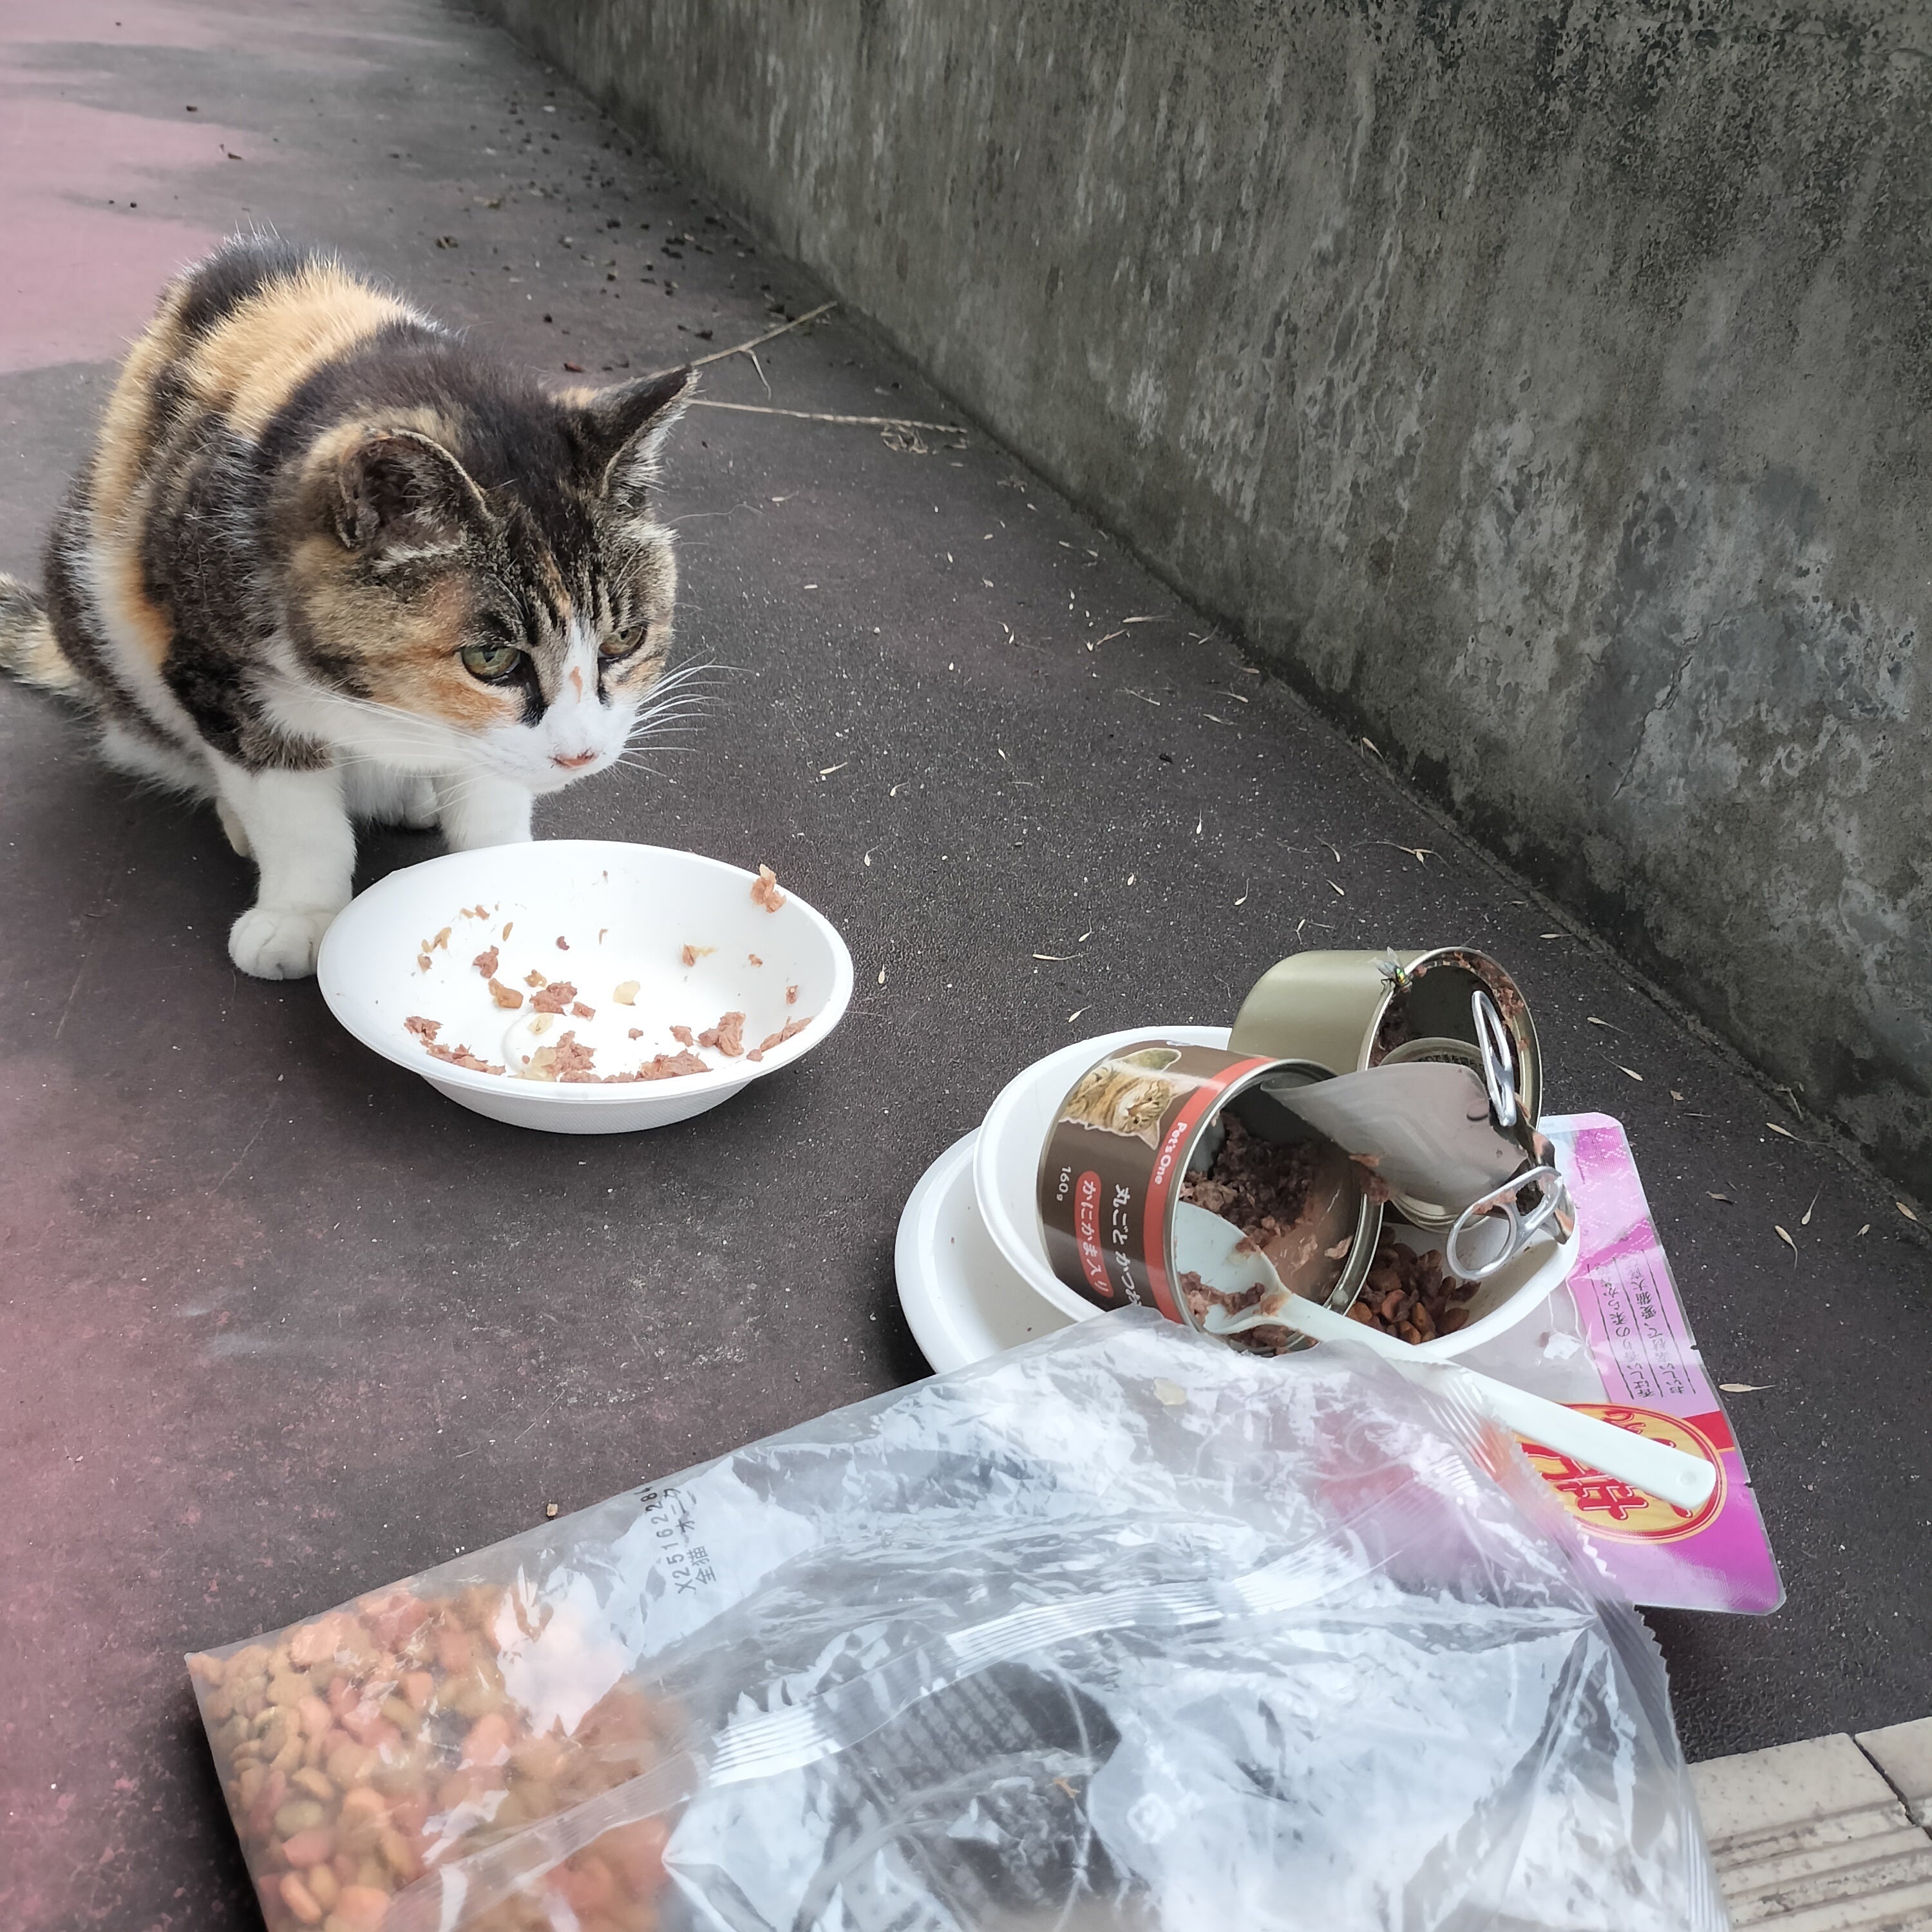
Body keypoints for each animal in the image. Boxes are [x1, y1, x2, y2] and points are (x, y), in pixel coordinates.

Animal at [0, 236, 694, 979]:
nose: (580, 756)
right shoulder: (213, 669)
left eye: (624, 641)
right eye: (490, 659)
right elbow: (294, 810)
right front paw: (299, 917)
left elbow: (491, 793)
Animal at [1056, 1047, 1182, 1146]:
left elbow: (1079, 1105)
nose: (1130, 1110)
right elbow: (1097, 1076)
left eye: (1136, 1121)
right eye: (1149, 1099)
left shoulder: (1082, 1110)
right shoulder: (1111, 1067)